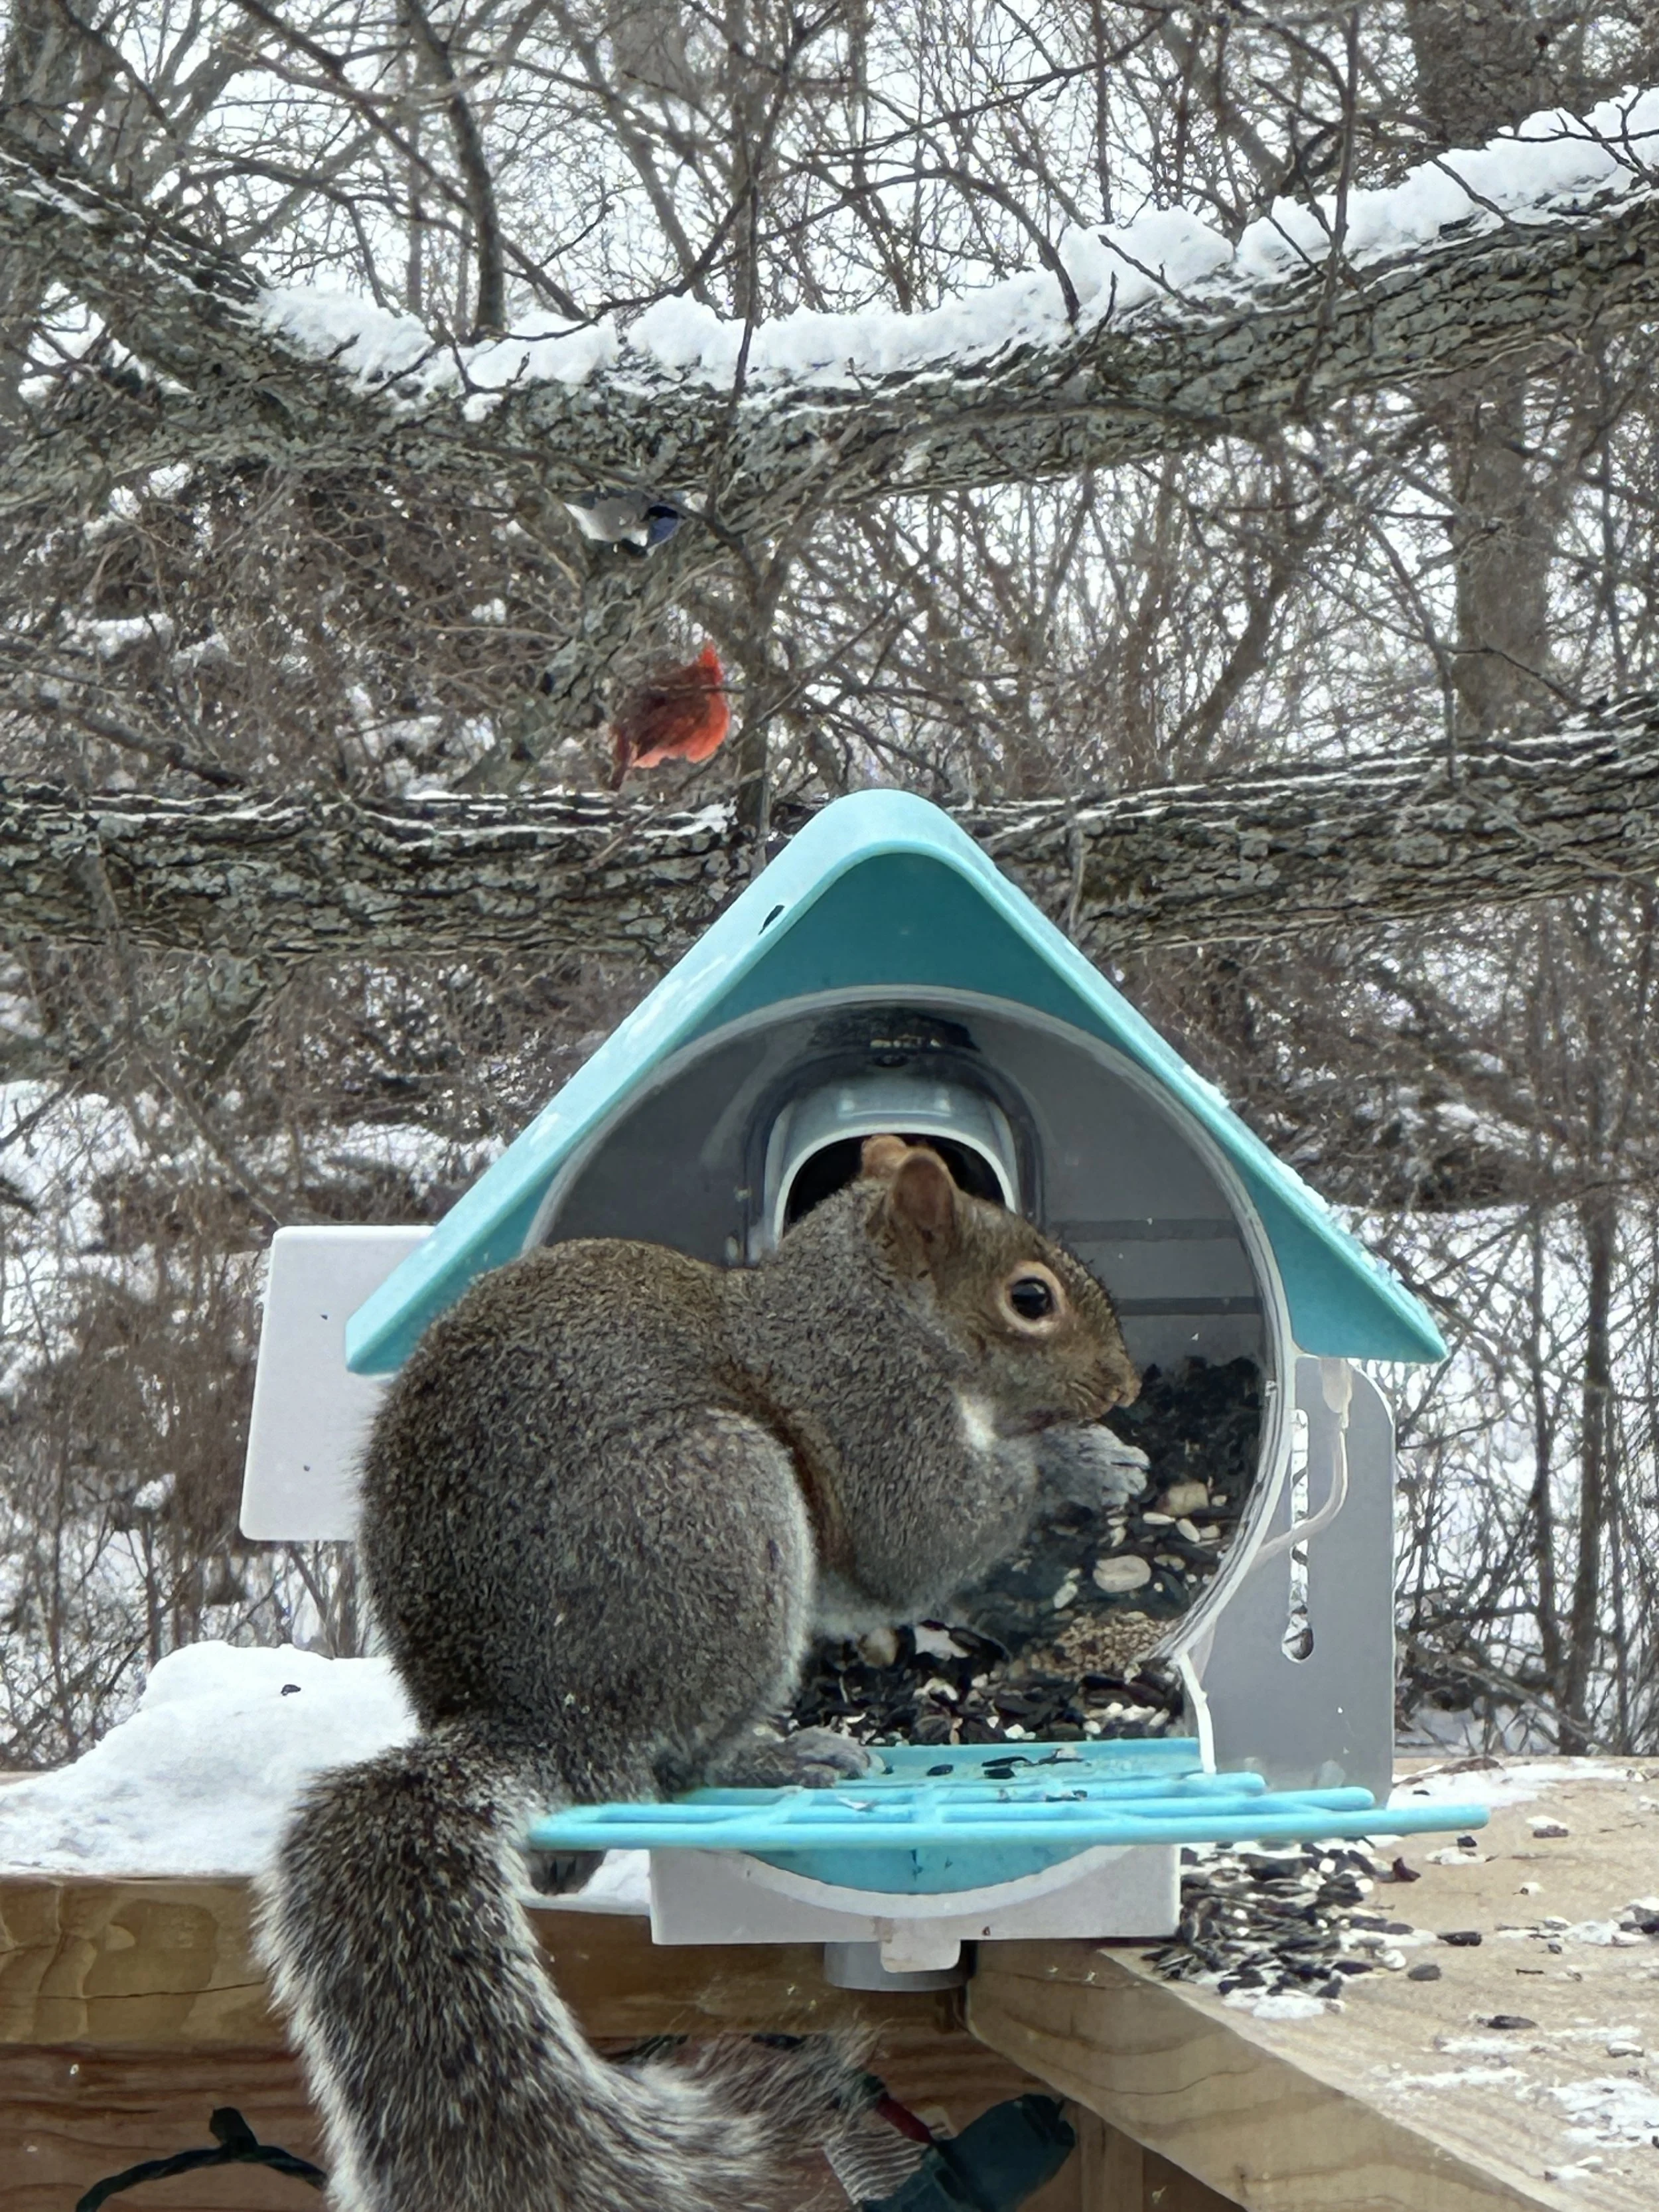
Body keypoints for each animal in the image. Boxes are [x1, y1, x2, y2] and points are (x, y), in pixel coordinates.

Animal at [257, 1134, 1139, 2212]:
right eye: (1030, 1297)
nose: (1124, 1383)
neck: (870, 1305)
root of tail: (535, 1723)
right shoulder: (874, 1413)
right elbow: (921, 1541)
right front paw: (1080, 1461)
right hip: (719, 1512)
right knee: (681, 1767)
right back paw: (785, 1757)